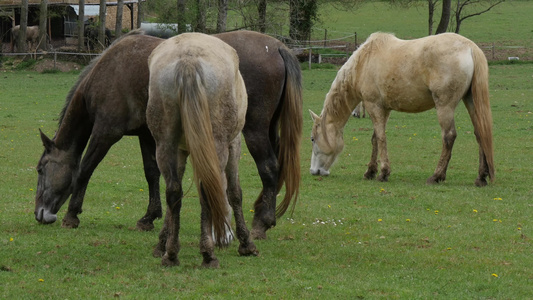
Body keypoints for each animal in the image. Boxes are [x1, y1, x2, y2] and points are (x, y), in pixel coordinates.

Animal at [34, 30, 304, 240]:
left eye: (40, 169)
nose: (39, 213)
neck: (111, 70)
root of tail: (277, 47)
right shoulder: (146, 135)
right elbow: (151, 174)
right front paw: (148, 217)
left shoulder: (105, 133)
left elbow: (84, 170)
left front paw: (71, 215)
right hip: (267, 129)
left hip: (254, 131)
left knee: (269, 168)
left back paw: (261, 223)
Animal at [147, 32, 256, 268]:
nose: (226, 238)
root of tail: (189, 59)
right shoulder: (234, 144)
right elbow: (234, 192)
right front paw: (246, 243)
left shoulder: (180, 151)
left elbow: (174, 197)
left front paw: (162, 243)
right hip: (218, 144)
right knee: (207, 188)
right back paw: (208, 253)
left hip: (165, 144)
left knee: (173, 190)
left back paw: (171, 254)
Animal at [308, 33, 494, 188]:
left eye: (312, 139)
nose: (314, 171)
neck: (364, 62)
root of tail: (470, 47)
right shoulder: (384, 109)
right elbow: (375, 139)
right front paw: (370, 172)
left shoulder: (373, 105)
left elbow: (381, 138)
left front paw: (383, 173)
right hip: (470, 101)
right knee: (480, 134)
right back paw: (481, 177)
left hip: (445, 107)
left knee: (449, 137)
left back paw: (437, 176)